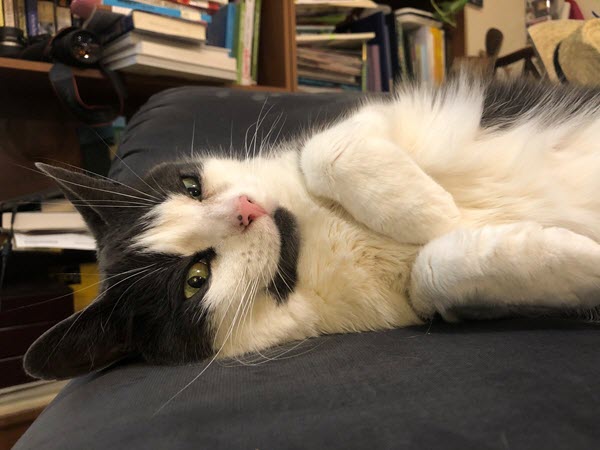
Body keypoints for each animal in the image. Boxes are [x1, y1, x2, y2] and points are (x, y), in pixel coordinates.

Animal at [23, 74, 600, 380]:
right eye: (194, 280)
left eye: (191, 185)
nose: (247, 209)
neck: (316, 236)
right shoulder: (418, 299)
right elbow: (436, 266)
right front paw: (443, 218)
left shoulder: (375, 120)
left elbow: (324, 150)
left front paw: (429, 208)